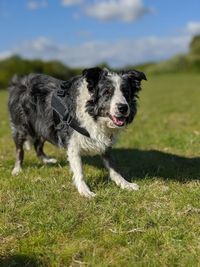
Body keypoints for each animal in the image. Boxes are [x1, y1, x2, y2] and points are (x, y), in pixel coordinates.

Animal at [8, 68, 145, 198]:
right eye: (107, 92)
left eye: (126, 92)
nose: (123, 108)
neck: (92, 114)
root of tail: (20, 81)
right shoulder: (72, 143)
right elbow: (79, 171)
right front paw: (85, 191)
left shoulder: (104, 141)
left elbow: (113, 167)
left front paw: (125, 184)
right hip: (22, 126)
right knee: (20, 149)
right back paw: (17, 169)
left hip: (43, 126)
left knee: (38, 144)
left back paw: (46, 160)